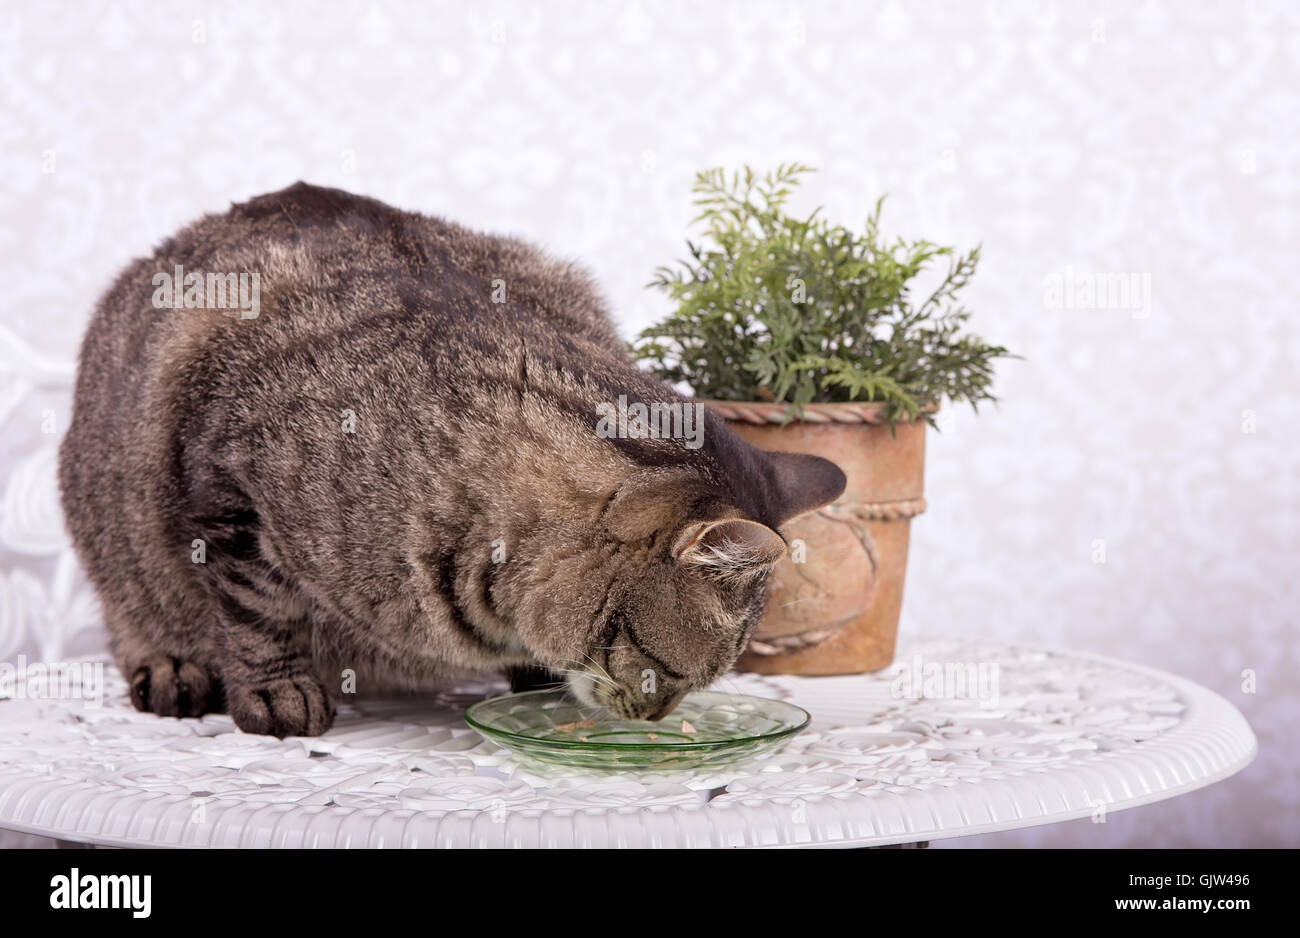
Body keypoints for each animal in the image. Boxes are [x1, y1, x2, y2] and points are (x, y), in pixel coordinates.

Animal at [61, 183, 847, 732]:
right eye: (661, 672)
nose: (655, 720)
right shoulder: (229, 487)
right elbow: (258, 612)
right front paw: (276, 689)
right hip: (109, 523)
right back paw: (172, 665)